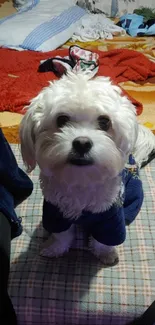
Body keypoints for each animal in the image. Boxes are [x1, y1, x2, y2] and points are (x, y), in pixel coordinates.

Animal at [20, 71, 155, 266]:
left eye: (105, 122)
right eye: (62, 119)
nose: (82, 143)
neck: (81, 180)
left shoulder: (110, 217)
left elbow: (103, 240)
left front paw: (106, 253)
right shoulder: (55, 212)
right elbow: (61, 235)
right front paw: (55, 248)